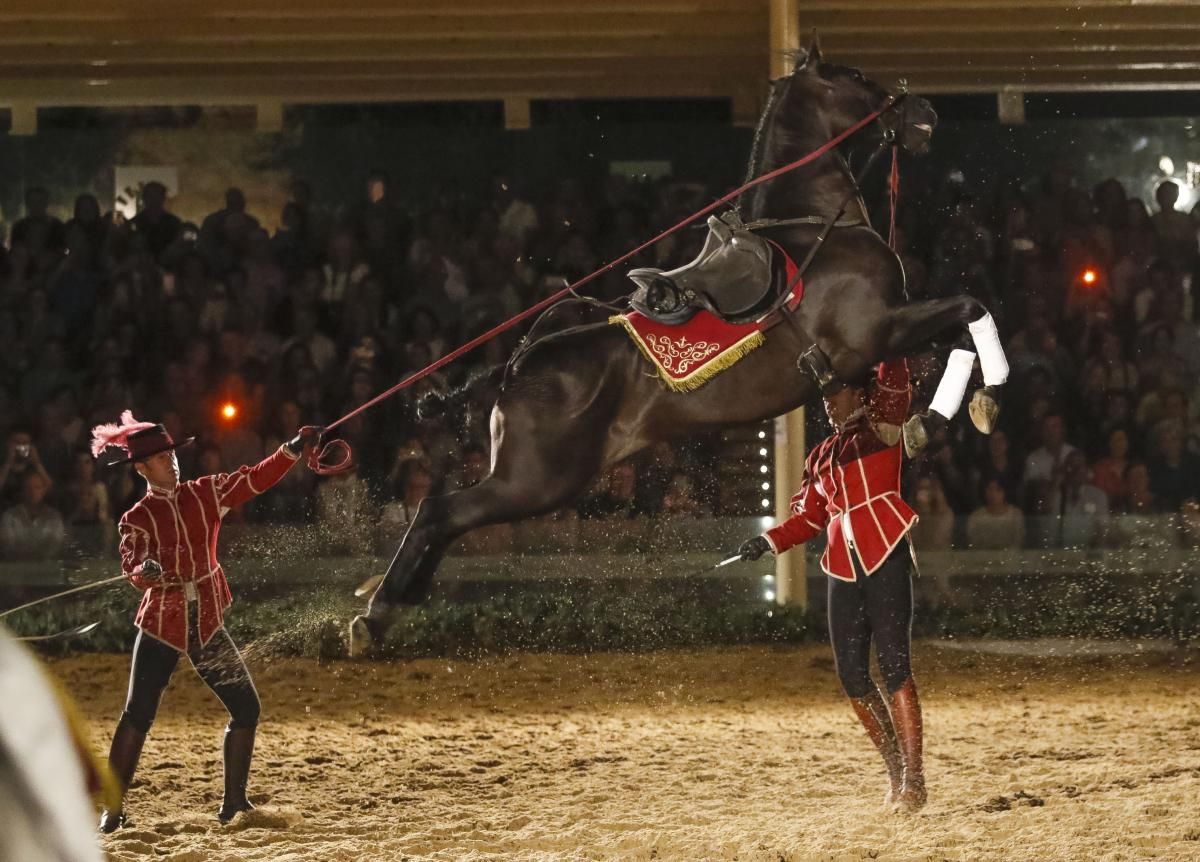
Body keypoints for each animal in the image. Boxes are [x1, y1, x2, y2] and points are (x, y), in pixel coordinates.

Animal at [350, 38, 998, 648]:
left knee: (444, 519)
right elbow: (971, 310)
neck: (816, 227)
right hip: (538, 478)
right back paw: (376, 612)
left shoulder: (867, 354)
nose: (923, 112)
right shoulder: (878, 329)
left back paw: (387, 609)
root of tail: (515, 365)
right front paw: (965, 408)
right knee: (438, 510)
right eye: (857, 77)